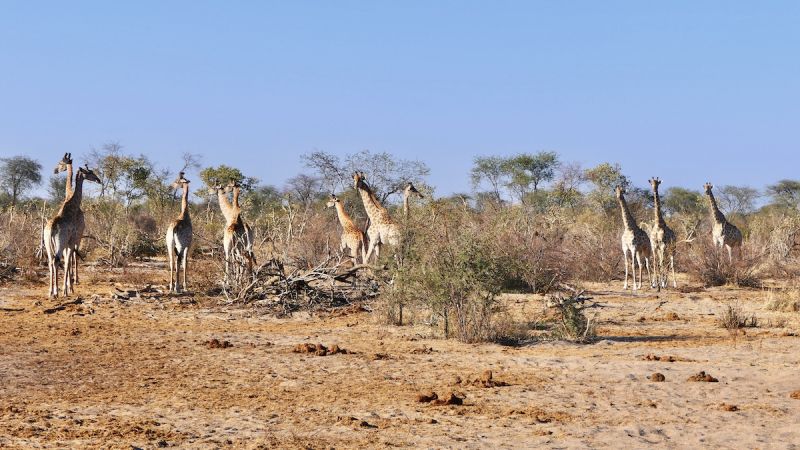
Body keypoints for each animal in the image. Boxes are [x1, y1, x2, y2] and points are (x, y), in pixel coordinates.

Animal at [43, 165, 101, 298]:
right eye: (90, 172)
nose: (98, 180)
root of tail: (52, 227)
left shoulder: (69, 243)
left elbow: (67, 260)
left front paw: (69, 287)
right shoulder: (73, 240)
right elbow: (69, 259)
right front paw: (67, 289)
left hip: (48, 244)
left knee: (50, 262)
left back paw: (50, 291)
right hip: (60, 244)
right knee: (56, 260)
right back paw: (56, 292)